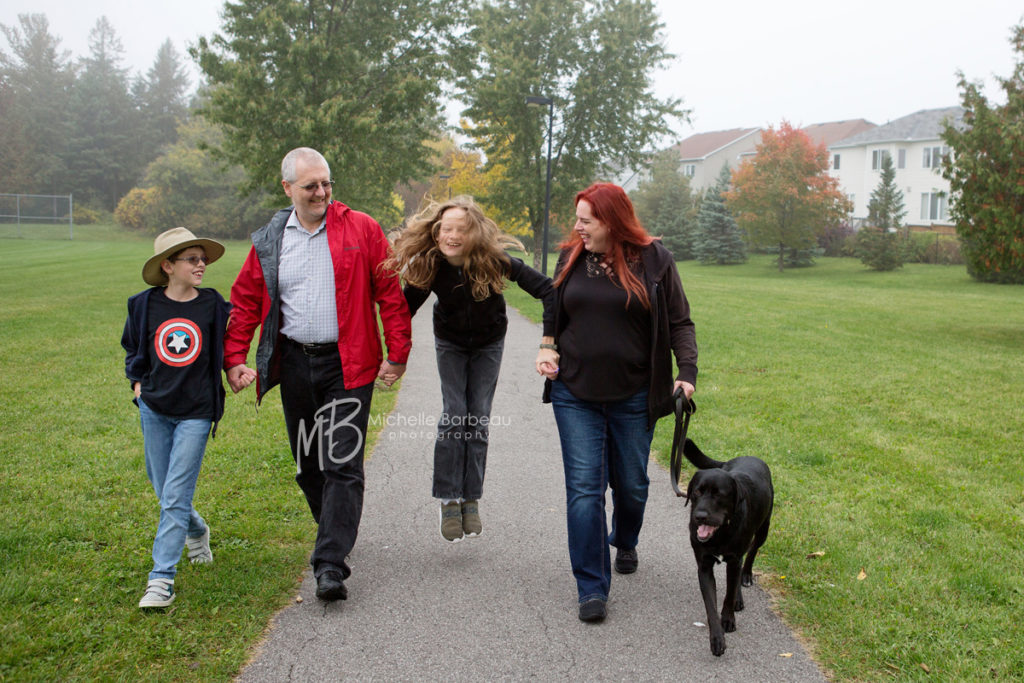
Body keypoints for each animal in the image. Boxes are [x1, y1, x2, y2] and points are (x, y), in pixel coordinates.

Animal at [684, 438, 770, 655]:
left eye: (719, 494)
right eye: (697, 491)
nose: (699, 516)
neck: (720, 534)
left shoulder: (734, 557)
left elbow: (729, 595)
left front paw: (729, 619)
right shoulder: (704, 566)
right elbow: (711, 606)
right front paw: (716, 638)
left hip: (763, 529)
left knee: (750, 554)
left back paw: (746, 577)